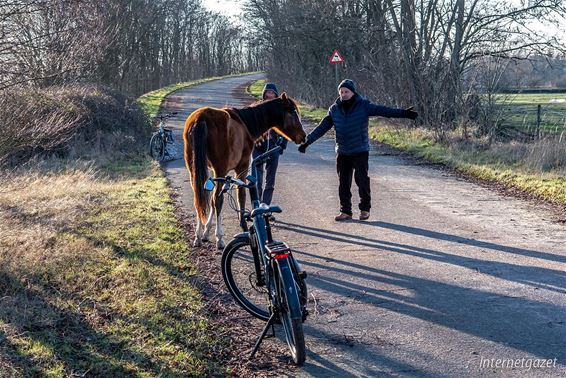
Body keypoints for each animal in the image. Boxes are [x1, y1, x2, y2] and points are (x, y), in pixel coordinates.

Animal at [183, 93, 306, 250]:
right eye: (292, 113)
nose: (303, 136)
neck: (245, 123)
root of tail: (201, 117)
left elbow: (208, 199)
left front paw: (205, 232)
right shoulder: (241, 168)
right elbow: (240, 196)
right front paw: (244, 226)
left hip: (193, 169)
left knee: (199, 197)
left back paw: (198, 236)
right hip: (220, 169)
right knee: (218, 199)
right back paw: (219, 238)